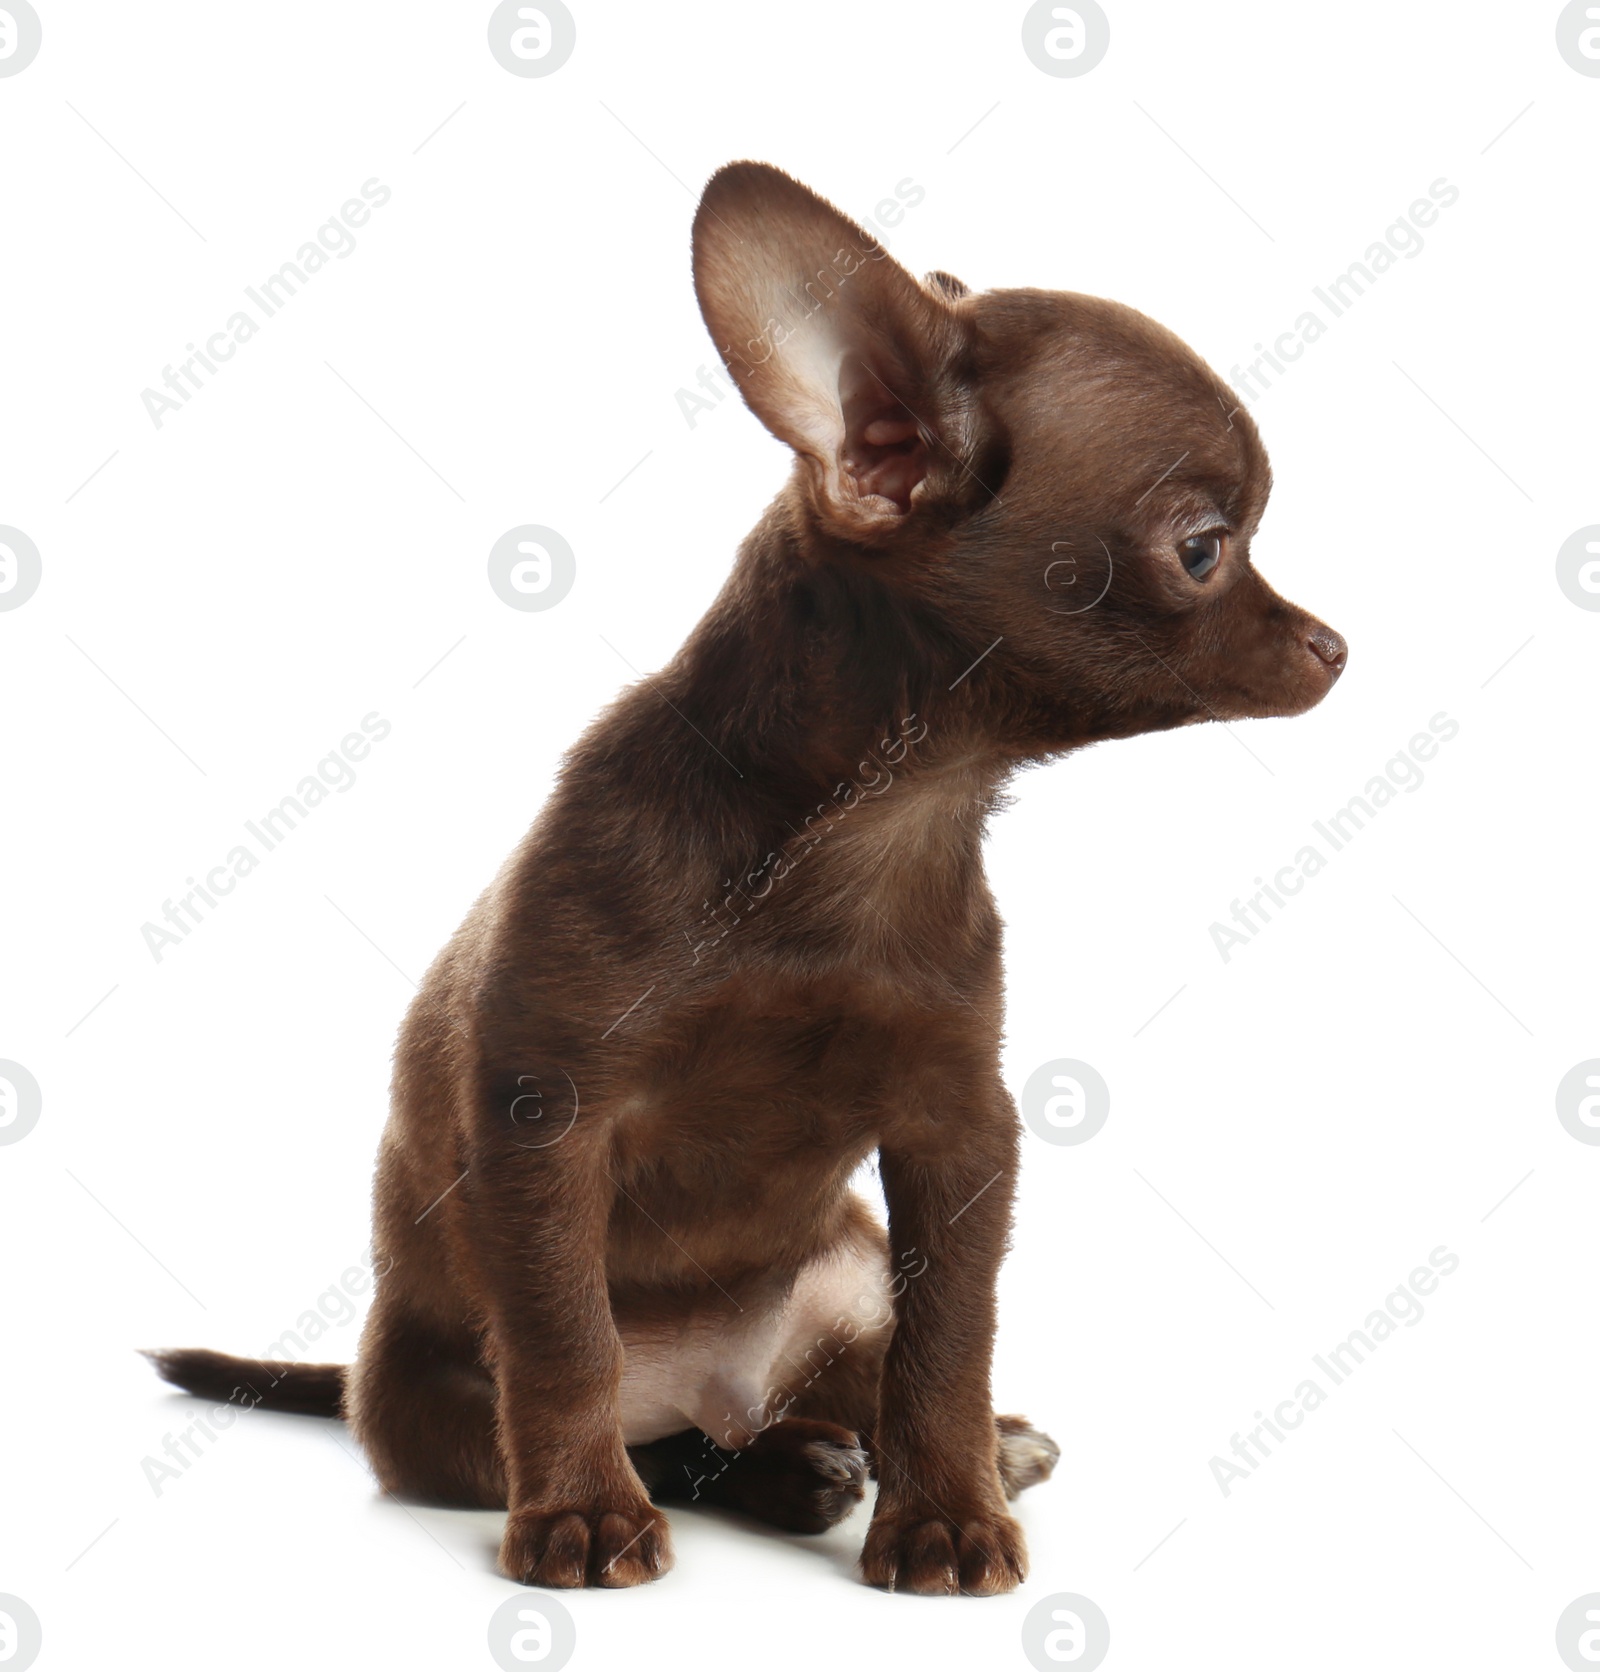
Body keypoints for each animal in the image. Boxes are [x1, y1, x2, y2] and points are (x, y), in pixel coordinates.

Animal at [152, 163, 1350, 1598]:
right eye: (1206, 548)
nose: (1335, 646)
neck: (871, 829)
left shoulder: (958, 1133)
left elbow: (950, 1338)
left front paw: (948, 1508)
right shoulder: (546, 1120)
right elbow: (565, 1340)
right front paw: (581, 1515)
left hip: (847, 1274)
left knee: (852, 1382)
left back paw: (933, 1448)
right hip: (435, 1406)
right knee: (668, 1439)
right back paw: (748, 1471)